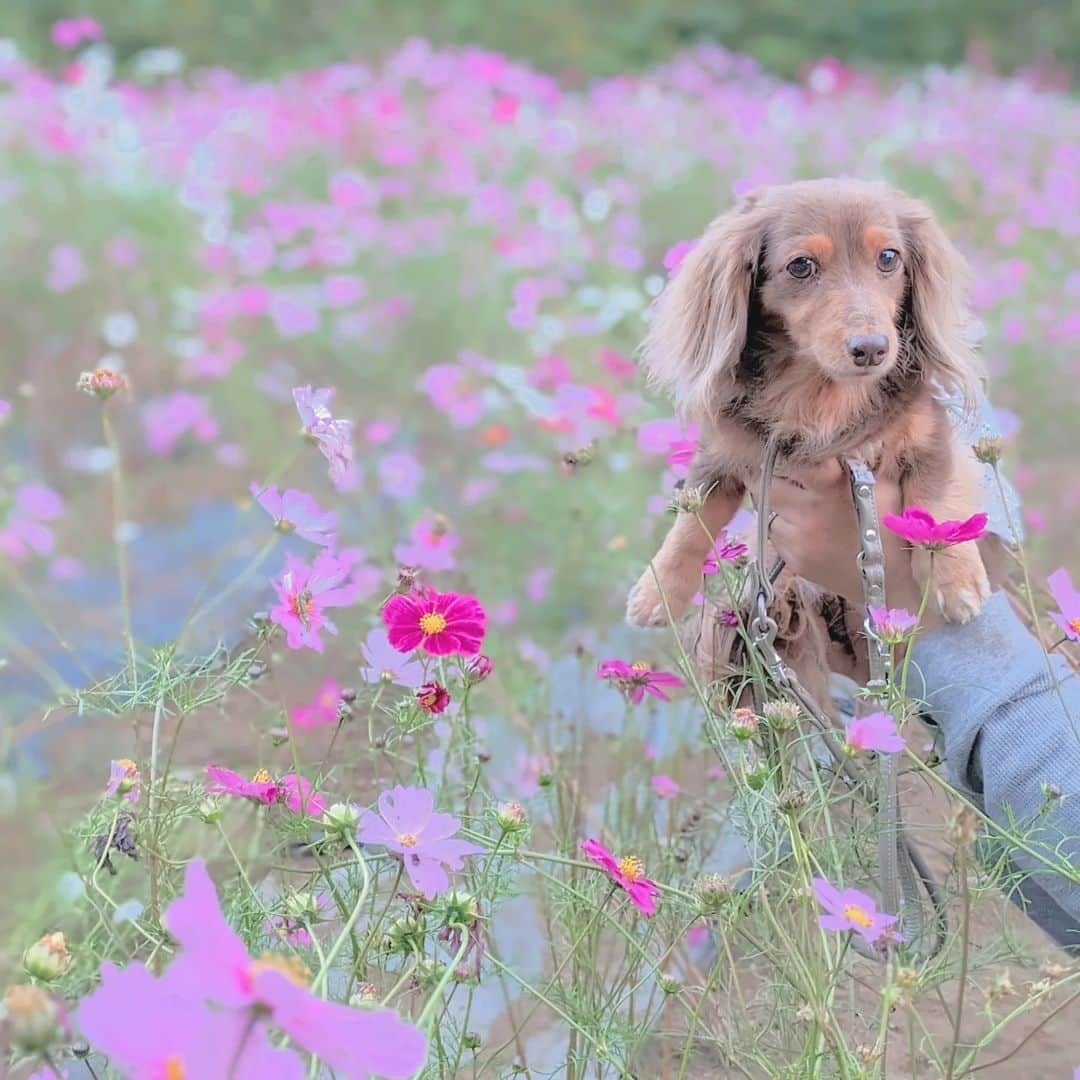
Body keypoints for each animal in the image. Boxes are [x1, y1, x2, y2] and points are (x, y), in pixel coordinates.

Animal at [630, 179, 989, 691]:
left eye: (889, 257)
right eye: (801, 265)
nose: (871, 349)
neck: (824, 395)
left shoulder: (928, 435)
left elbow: (935, 503)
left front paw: (955, 580)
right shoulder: (727, 455)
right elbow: (691, 525)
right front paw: (657, 590)